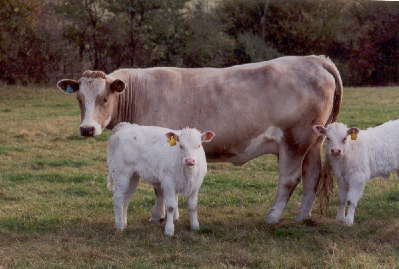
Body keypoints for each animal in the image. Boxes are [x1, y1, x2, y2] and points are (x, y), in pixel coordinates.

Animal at [57, 55, 344, 223]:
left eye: (105, 98)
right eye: (79, 98)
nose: (87, 129)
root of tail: (314, 59)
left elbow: (159, 188)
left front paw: (160, 217)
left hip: (295, 140)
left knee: (289, 178)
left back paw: (272, 217)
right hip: (313, 141)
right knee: (312, 175)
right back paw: (302, 216)